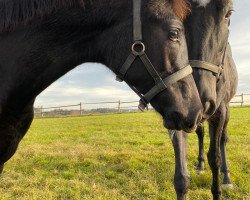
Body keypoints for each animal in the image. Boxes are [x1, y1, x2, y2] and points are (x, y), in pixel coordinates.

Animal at [169, 0, 237, 200]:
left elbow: (215, 157)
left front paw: (218, 189)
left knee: (223, 139)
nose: (197, 97)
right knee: (200, 133)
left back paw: (226, 177)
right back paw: (200, 165)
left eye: (228, 13)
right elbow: (181, 178)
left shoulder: (220, 111)